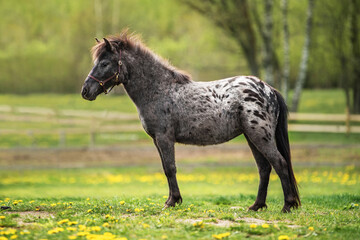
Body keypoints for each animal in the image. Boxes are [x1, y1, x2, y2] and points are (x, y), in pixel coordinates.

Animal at [82, 31, 300, 213]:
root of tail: (269, 89)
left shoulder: (164, 138)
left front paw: (172, 201)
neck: (160, 90)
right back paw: (256, 206)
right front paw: (171, 199)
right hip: (251, 137)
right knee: (264, 168)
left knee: (279, 163)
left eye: (104, 63)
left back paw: (287, 206)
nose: (85, 91)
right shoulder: (157, 140)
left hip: (260, 136)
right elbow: (166, 168)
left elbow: (170, 168)